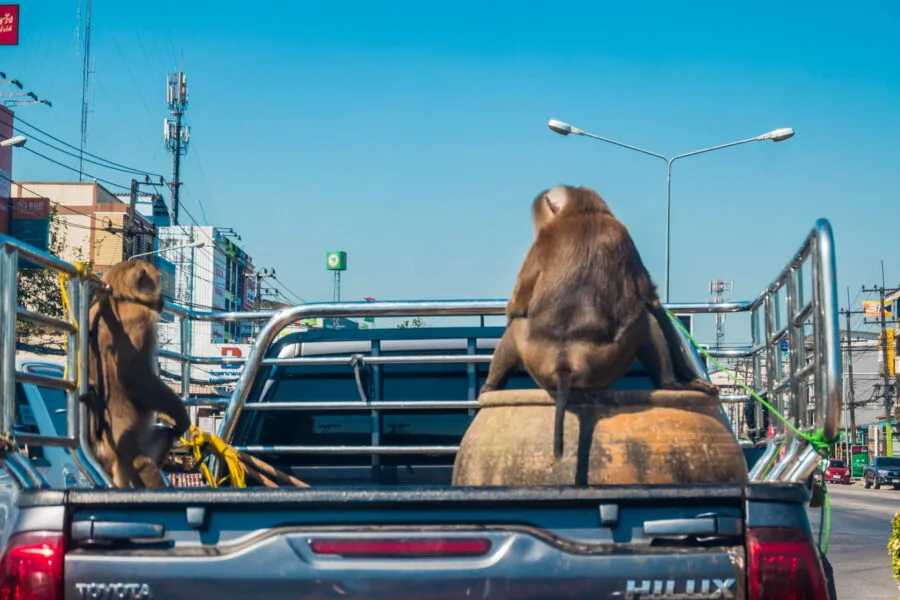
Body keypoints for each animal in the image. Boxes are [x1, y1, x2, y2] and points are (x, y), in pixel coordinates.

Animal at [83, 259, 190, 488]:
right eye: (158, 280)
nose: (162, 298)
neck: (118, 297)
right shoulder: (140, 320)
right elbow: (133, 375)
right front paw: (179, 414)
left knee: (163, 435)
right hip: (124, 454)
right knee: (140, 463)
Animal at [481, 185, 718, 458]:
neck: (583, 212)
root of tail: (565, 363)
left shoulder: (542, 243)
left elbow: (515, 308)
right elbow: (652, 301)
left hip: (594, 360)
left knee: (517, 325)